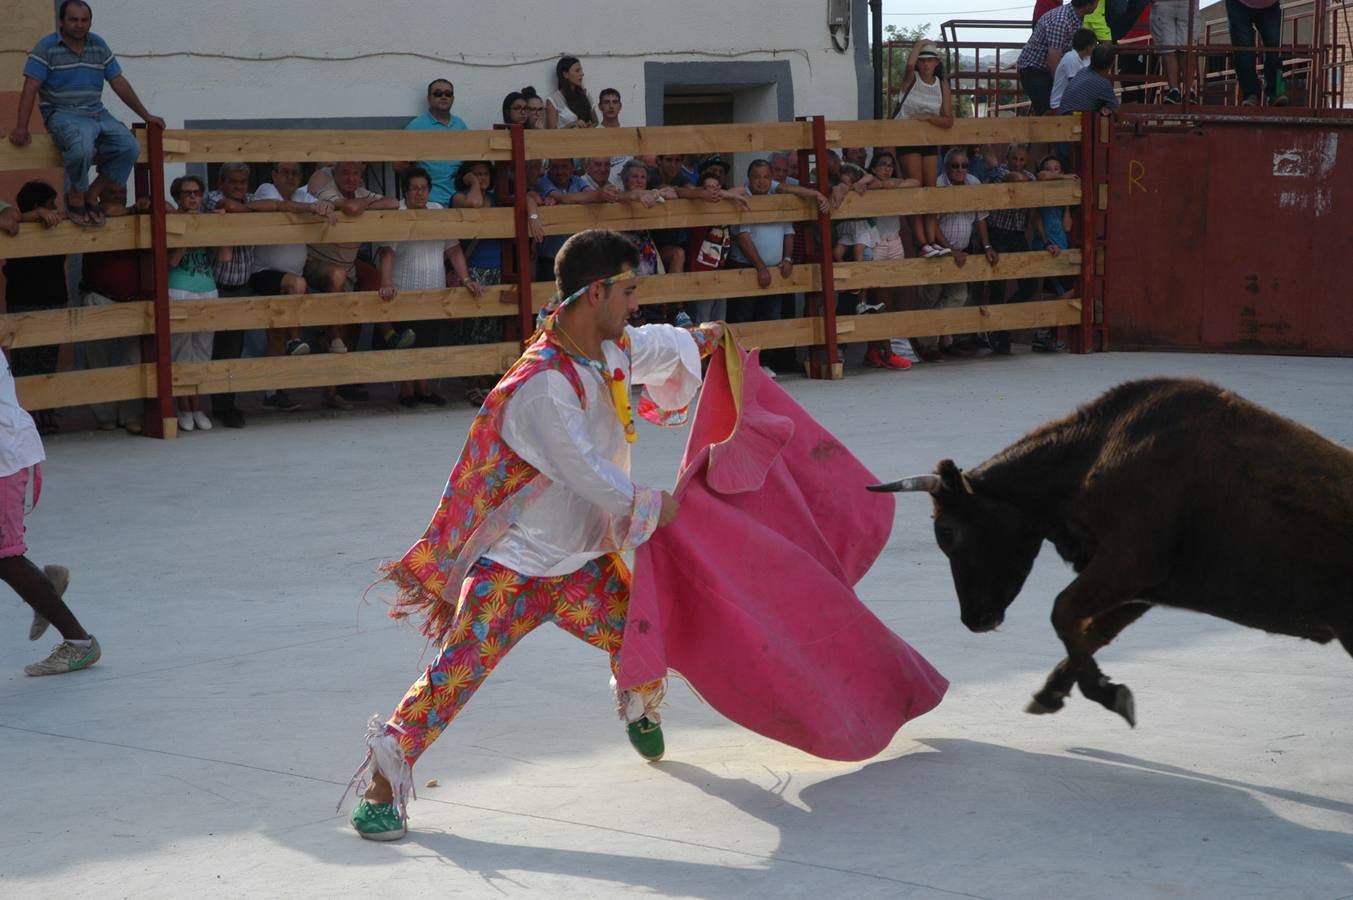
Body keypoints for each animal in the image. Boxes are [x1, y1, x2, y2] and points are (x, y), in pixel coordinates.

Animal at [865, 376, 1353, 725]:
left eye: (947, 531)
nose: (975, 620)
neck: (1094, 453)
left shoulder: (1130, 564)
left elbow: (1064, 612)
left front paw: (1108, 693)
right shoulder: (1141, 587)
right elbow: (1091, 629)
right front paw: (1053, 694)